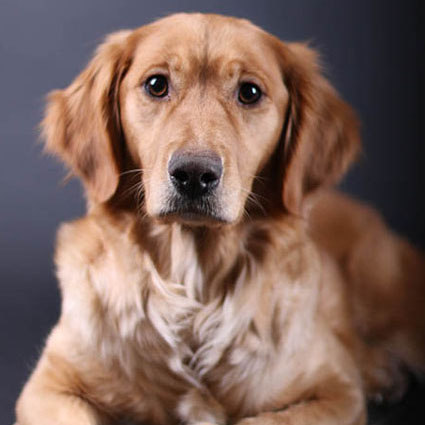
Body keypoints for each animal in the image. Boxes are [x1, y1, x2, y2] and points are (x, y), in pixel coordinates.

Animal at [14, 13, 422, 424]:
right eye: (156, 85)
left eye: (250, 92)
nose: (194, 174)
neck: (195, 292)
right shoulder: (46, 385)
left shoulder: (337, 390)